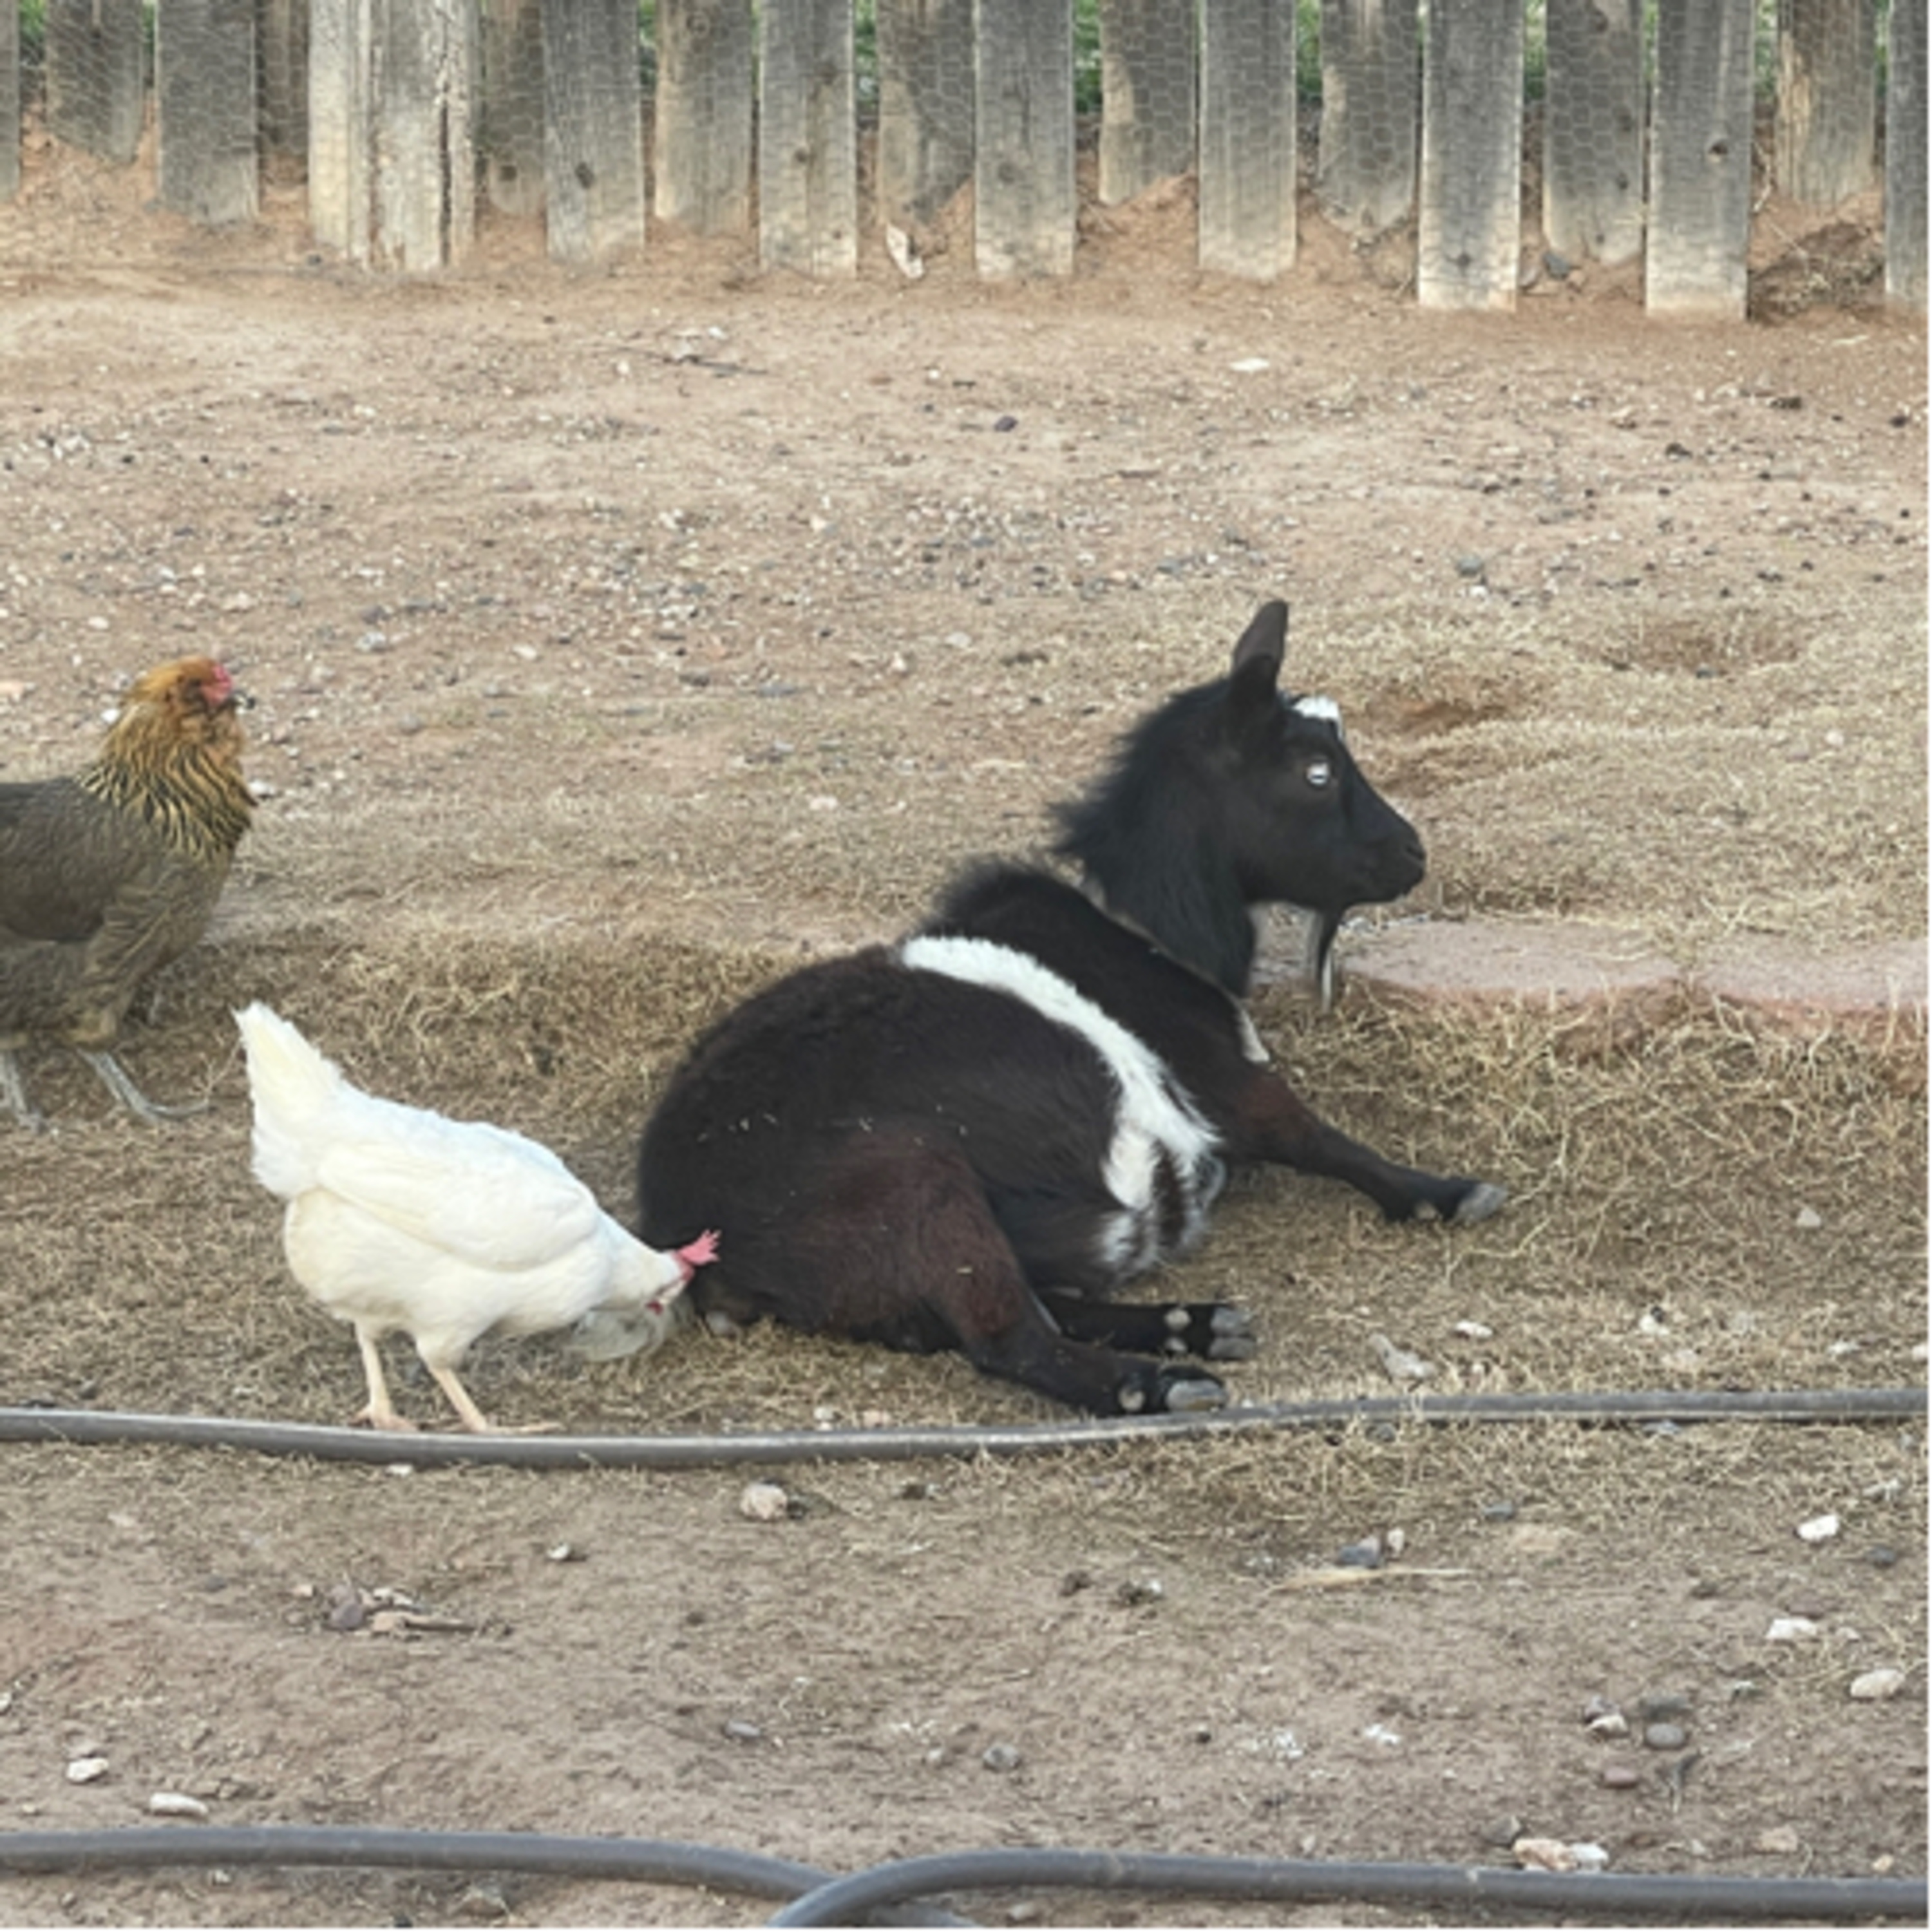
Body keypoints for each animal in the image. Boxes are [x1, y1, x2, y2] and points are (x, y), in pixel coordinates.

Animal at [637, 600, 1505, 1415]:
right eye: (1317, 771)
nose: (1413, 854)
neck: (1143, 933)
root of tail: (697, 1239)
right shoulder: (1218, 1079)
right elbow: (1311, 1134)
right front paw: (1445, 1193)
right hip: (914, 1183)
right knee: (1008, 1337)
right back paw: (1154, 1383)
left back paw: (1193, 1324)